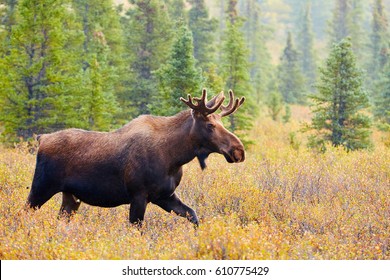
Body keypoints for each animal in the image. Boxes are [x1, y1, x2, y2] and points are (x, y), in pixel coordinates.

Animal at [26, 90, 247, 228]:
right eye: (210, 125)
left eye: (222, 123)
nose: (239, 150)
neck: (174, 157)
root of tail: (41, 138)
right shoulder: (139, 195)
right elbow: (137, 229)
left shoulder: (164, 195)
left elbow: (193, 215)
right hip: (42, 186)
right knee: (24, 211)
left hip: (70, 197)